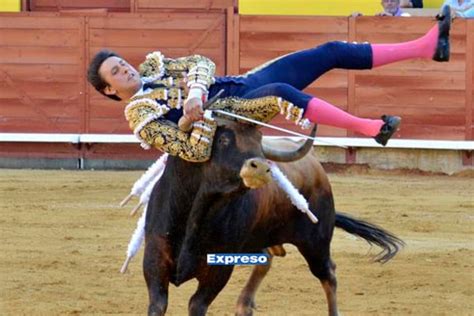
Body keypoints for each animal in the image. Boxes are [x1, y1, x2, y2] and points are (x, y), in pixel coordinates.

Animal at [143, 118, 404, 316]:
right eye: (223, 139)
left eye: (259, 143)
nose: (261, 167)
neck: (196, 212)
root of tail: (316, 166)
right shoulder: (154, 263)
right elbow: (158, 305)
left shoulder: (217, 272)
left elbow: (196, 305)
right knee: (267, 259)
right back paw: (244, 306)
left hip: (316, 243)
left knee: (328, 274)